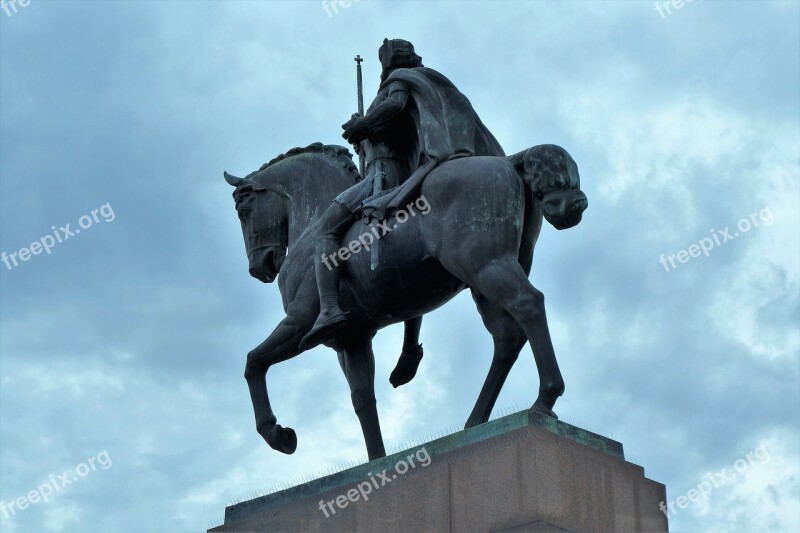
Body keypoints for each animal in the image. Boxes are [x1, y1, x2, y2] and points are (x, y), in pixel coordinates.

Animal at [225, 143, 588, 460]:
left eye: (243, 210)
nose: (260, 266)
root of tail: (507, 162)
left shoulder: (299, 324)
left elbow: (253, 362)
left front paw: (277, 433)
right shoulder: (352, 341)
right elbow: (363, 400)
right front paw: (376, 460)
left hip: (487, 266)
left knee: (528, 305)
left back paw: (544, 399)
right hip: (483, 282)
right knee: (507, 337)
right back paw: (475, 421)